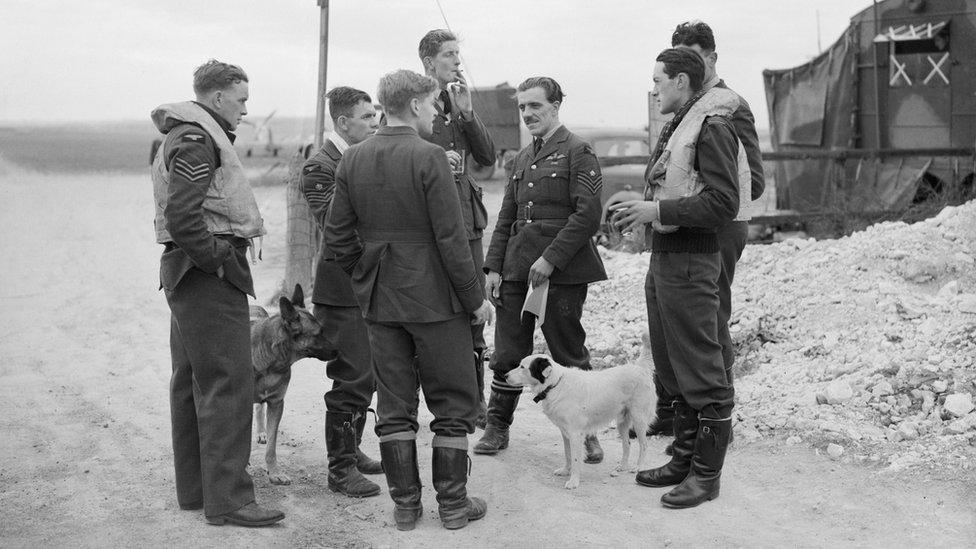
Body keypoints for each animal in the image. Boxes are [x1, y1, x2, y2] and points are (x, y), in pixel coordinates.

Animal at [250, 284, 338, 486]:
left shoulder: (276, 404)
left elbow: (272, 447)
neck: (271, 359)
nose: (338, 351)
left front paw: (274, 473)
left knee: (258, 408)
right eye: (319, 333)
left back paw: (261, 432)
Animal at [504, 352, 656, 488]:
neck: (555, 384)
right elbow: (567, 454)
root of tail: (640, 368)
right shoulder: (565, 433)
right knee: (627, 444)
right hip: (622, 422)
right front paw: (565, 471)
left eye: (522, 367)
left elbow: (576, 458)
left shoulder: (575, 434)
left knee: (644, 445)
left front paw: (573, 481)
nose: (505, 376)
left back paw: (638, 467)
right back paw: (623, 466)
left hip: (639, 419)